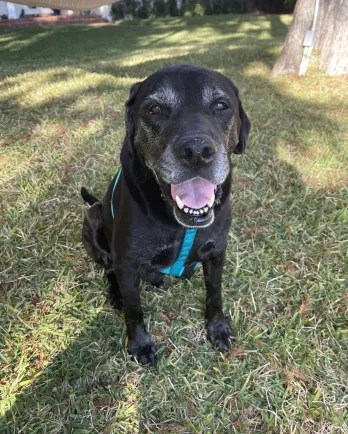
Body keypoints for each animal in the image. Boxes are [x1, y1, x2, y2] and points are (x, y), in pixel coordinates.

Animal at [81, 62, 250, 364]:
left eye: (221, 105)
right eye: (155, 109)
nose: (197, 151)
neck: (179, 223)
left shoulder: (217, 252)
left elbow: (215, 292)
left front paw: (217, 327)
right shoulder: (127, 262)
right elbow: (134, 309)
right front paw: (139, 344)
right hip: (95, 217)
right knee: (108, 268)